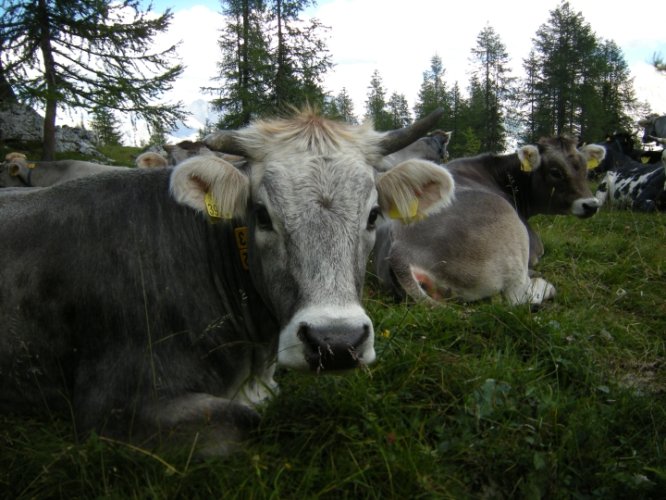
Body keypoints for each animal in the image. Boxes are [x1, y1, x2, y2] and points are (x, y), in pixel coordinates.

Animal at [370, 136, 604, 304]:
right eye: (556, 172)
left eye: (586, 169)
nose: (591, 205)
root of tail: (399, 251)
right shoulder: (535, 245)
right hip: (511, 235)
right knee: (516, 296)